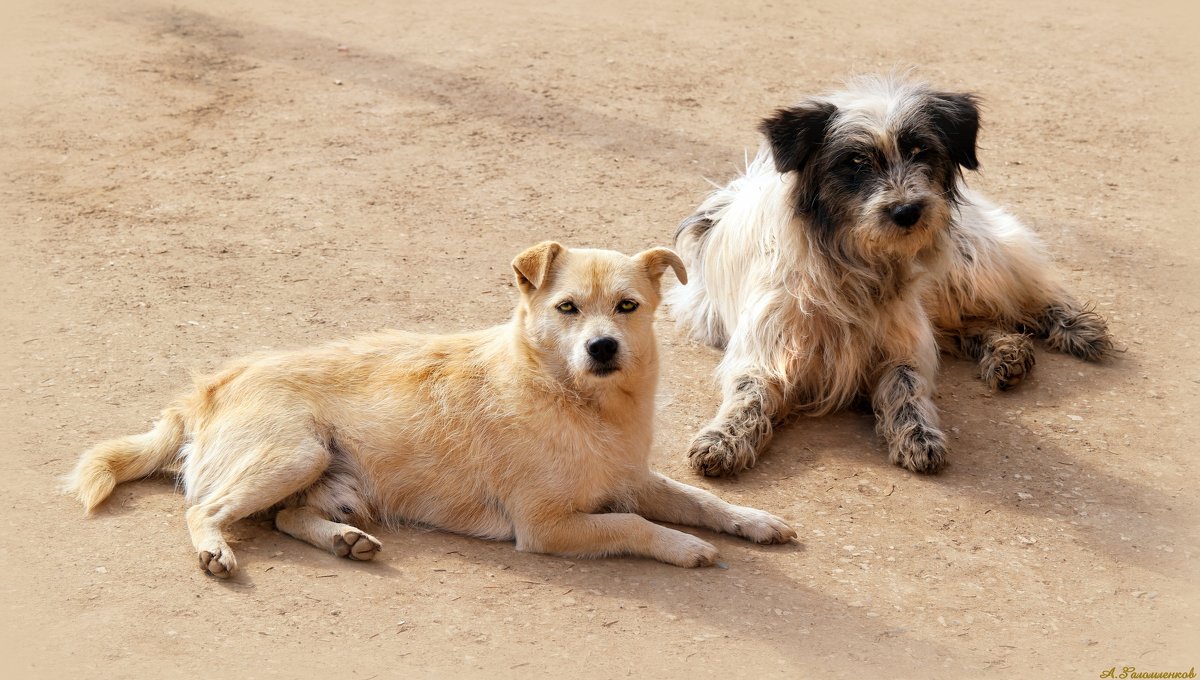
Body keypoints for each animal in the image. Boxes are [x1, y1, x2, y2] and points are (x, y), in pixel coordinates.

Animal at [65, 242, 796, 578]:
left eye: (627, 307)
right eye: (567, 308)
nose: (603, 347)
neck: (579, 404)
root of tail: (212, 386)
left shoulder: (631, 478)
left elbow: (700, 500)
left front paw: (754, 521)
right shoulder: (548, 527)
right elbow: (637, 526)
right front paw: (686, 547)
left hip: (329, 479)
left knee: (286, 517)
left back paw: (344, 541)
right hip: (295, 451)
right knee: (203, 509)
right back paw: (215, 548)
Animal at [667, 74, 1113, 479]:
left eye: (920, 150)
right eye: (855, 162)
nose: (908, 211)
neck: (857, 268)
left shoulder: (901, 343)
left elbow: (907, 385)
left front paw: (918, 434)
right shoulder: (766, 351)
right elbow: (749, 396)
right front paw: (724, 438)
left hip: (970, 266)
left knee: (1029, 297)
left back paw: (1074, 327)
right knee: (970, 326)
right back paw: (1007, 351)